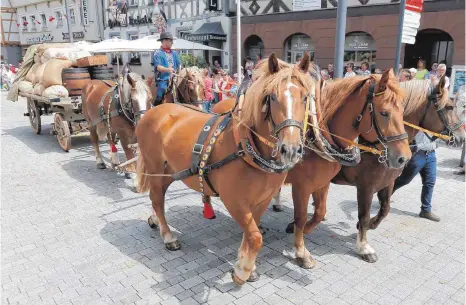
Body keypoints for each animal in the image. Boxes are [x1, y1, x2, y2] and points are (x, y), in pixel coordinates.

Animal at [137, 53, 314, 284]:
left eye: (305, 97)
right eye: (272, 97)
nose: (290, 149)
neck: (246, 148)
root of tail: (153, 111)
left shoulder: (262, 200)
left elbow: (251, 231)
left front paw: (247, 264)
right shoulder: (234, 200)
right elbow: (255, 237)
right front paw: (242, 271)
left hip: (169, 171)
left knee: (156, 196)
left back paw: (155, 220)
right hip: (155, 169)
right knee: (157, 199)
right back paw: (168, 236)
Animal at [211, 69, 412, 268]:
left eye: (403, 110)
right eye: (384, 113)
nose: (404, 157)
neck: (319, 133)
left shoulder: (325, 183)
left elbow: (321, 212)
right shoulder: (311, 186)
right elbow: (306, 216)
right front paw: (302, 250)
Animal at [316, 76, 466, 262]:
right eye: (449, 107)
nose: (461, 138)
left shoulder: (388, 182)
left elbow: (385, 209)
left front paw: (370, 225)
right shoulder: (366, 186)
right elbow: (364, 215)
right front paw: (364, 247)